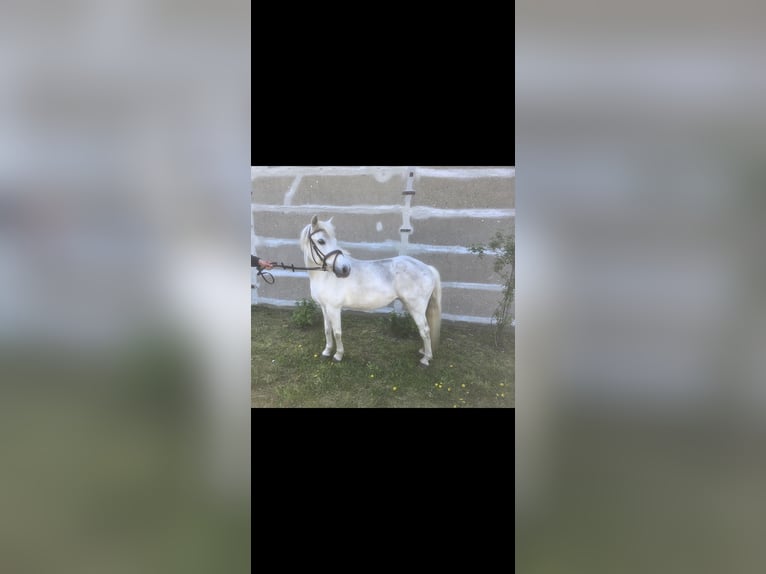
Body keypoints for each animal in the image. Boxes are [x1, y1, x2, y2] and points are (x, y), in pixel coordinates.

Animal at [300, 215, 442, 367]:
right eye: (321, 241)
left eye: (334, 240)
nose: (345, 269)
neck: (325, 276)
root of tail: (427, 268)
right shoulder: (324, 307)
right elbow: (327, 330)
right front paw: (326, 352)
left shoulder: (334, 308)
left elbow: (337, 332)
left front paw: (338, 355)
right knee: (425, 330)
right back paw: (423, 351)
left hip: (416, 308)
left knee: (425, 330)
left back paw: (426, 359)